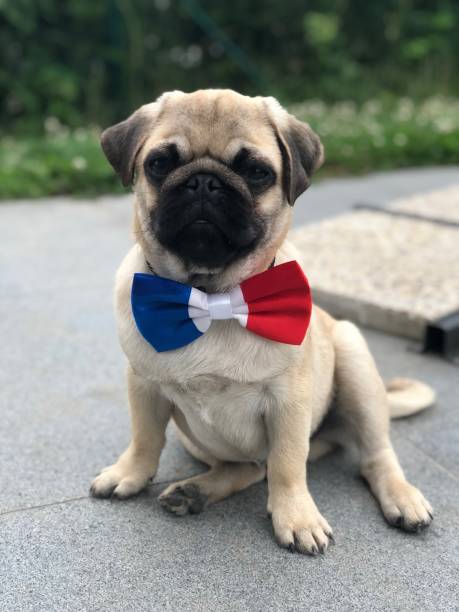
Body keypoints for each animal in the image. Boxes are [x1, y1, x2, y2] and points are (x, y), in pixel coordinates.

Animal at [90, 89, 434, 556]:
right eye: (159, 163)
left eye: (256, 172)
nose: (204, 182)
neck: (212, 297)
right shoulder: (143, 385)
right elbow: (145, 437)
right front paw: (128, 474)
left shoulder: (288, 402)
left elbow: (288, 464)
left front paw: (297, 516)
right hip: (198, 439)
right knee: (250, 467)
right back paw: (194, 491)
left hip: (355, 361)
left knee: (373, 456)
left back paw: (402, 497)